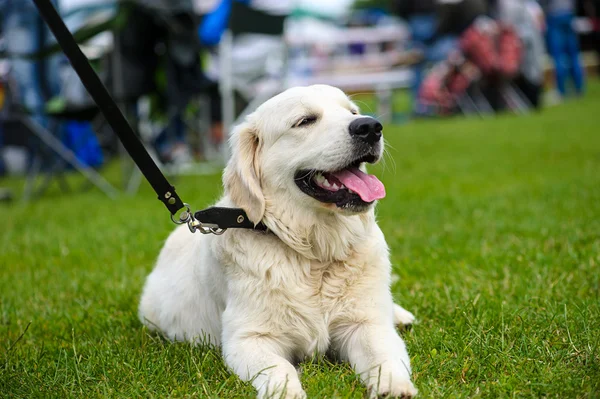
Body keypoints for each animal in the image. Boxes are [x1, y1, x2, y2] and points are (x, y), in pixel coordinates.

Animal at [138, 85, 418, 399]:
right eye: (305, 121)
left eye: (352, 112)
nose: (370, 127)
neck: (314, 253)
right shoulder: (249, 338)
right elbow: (280, 369)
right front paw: (288, 393)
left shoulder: (366, 323)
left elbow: (383, 355)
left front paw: (393, 385)